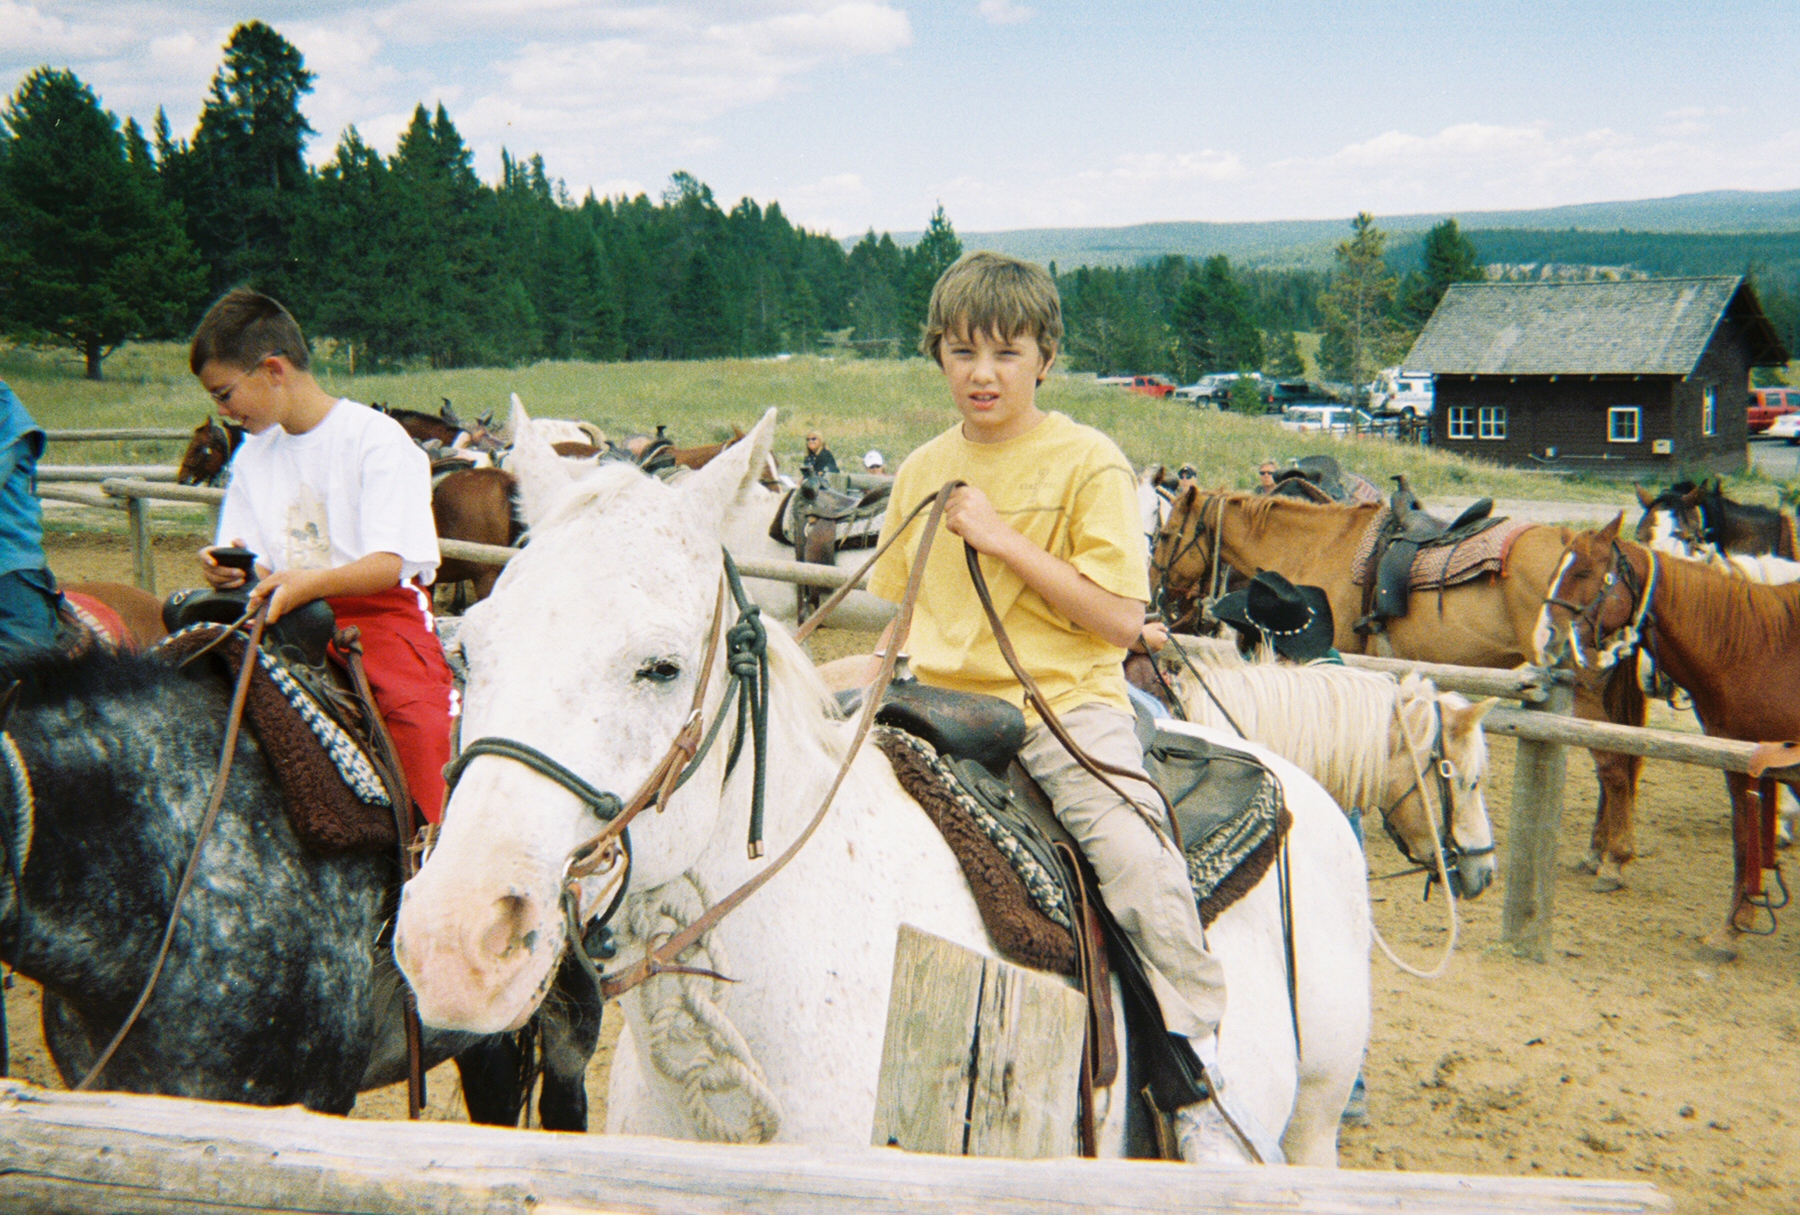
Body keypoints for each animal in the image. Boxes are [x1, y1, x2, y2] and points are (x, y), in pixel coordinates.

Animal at [1533, 514, 1800, 957]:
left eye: (1584, 572)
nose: (1544, 639)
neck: (1759, 649)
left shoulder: (1754, 764)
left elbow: (1748, 839)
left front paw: (1731, 928)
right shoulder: (1748, 762)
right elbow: (1748, 838)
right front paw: (1738, 923)